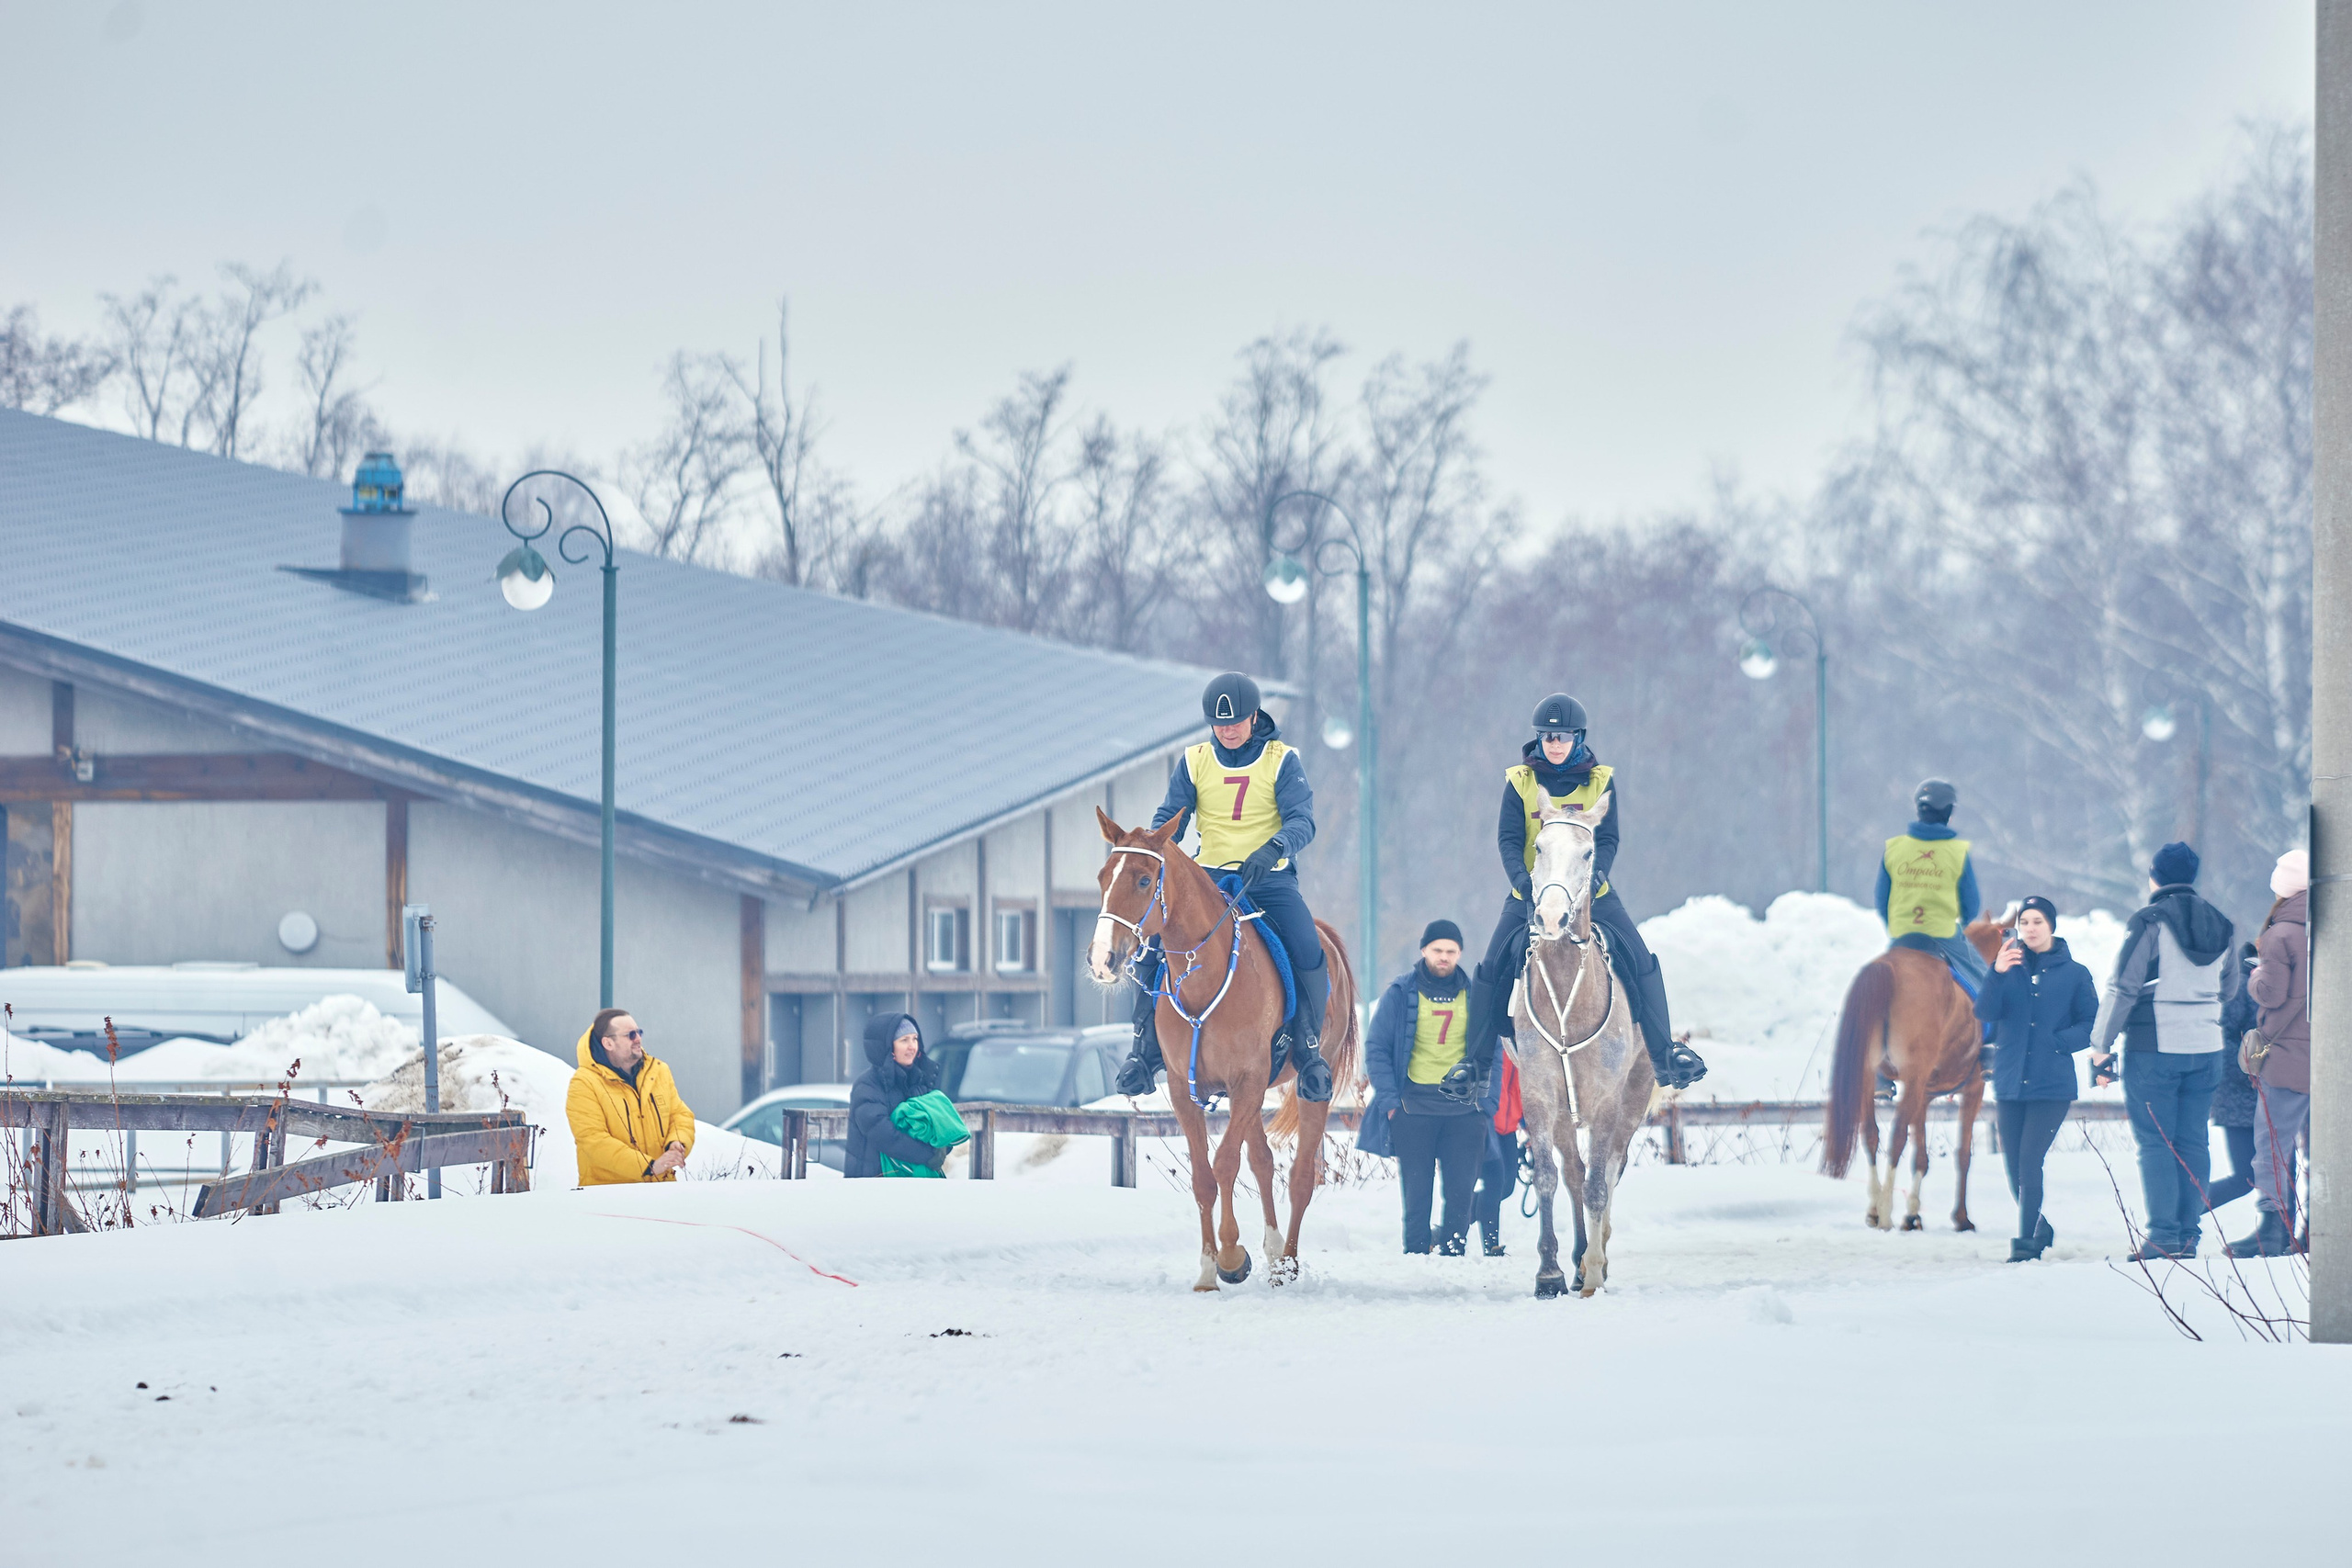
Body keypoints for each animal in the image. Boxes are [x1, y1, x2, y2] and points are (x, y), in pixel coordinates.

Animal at [1086, 807, 1360, 1290]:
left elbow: (1226, 1163)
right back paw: (1273, 1253)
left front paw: (1233, 1256)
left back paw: (1288, 1263)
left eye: (1143, 880)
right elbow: (1204, 1177)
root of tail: (1325, 936)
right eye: (1103, 876)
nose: (1102, 960)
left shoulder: (1247, 1080)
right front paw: (1208, 1269)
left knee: (1301, 1175)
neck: (1204, 975)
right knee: (1264, 1161)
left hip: (1304, 1088)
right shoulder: (1185, 1088)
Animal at [1509, 792, 1656, 1298]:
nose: (1551, 917)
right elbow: (1548, 1178)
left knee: (1608, 1170)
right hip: (1563, 1112)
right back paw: (1574, 1259)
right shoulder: (1537, 1095)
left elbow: (1598, 1186)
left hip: (1634, 1097)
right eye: (1538, 848)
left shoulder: (1609, 1098)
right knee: (1574, 1173)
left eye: (1589, 853)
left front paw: (1592, 1273)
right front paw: (1550, 1272)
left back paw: (1595, 1256)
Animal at [1820, 910, 2007, 1230]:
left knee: (1871, 1134)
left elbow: (1921, 1156)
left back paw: (1875, 1209)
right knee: (1896, 1137)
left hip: (1870, 1076)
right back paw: (1885, 1212)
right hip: (1915, 1075)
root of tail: (1887, 968)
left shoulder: (1924, 1094)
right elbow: (1962, 1154)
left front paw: (1913, 1214)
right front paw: (1961, 1217)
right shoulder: (1973, 1089)